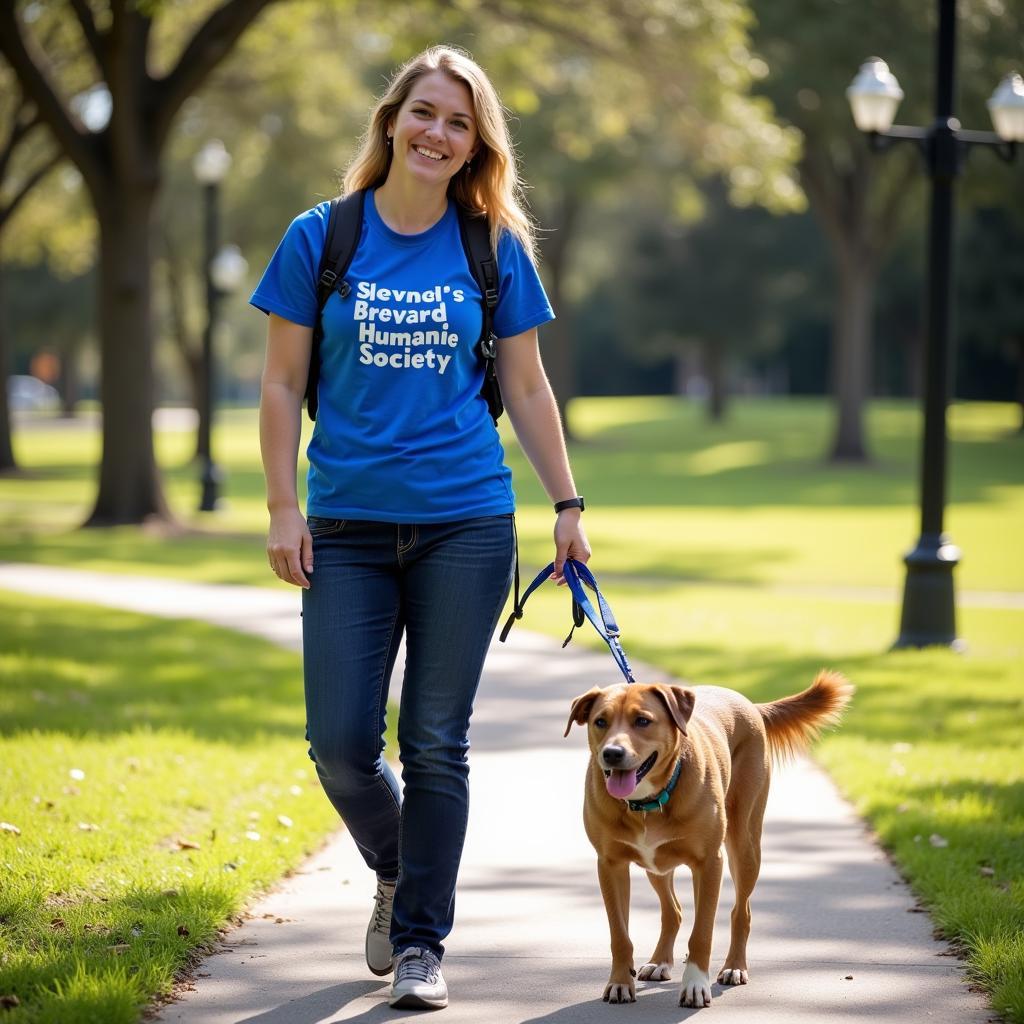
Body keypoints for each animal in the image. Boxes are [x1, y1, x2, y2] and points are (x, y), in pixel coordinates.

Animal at [565, 671, 851, 1007]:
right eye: (600, 721)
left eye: (642, 721)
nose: (612, 753)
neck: (648, 802)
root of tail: (750, 704)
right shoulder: (610, 865)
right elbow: (619, 935)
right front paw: (621, 982)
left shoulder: (710, 862)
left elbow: (702, 932)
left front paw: (695, 985)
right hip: (656, 866)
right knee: (673, 911)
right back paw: (660, 962)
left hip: (744, 846)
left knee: (741, 912)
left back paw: (734, 966)